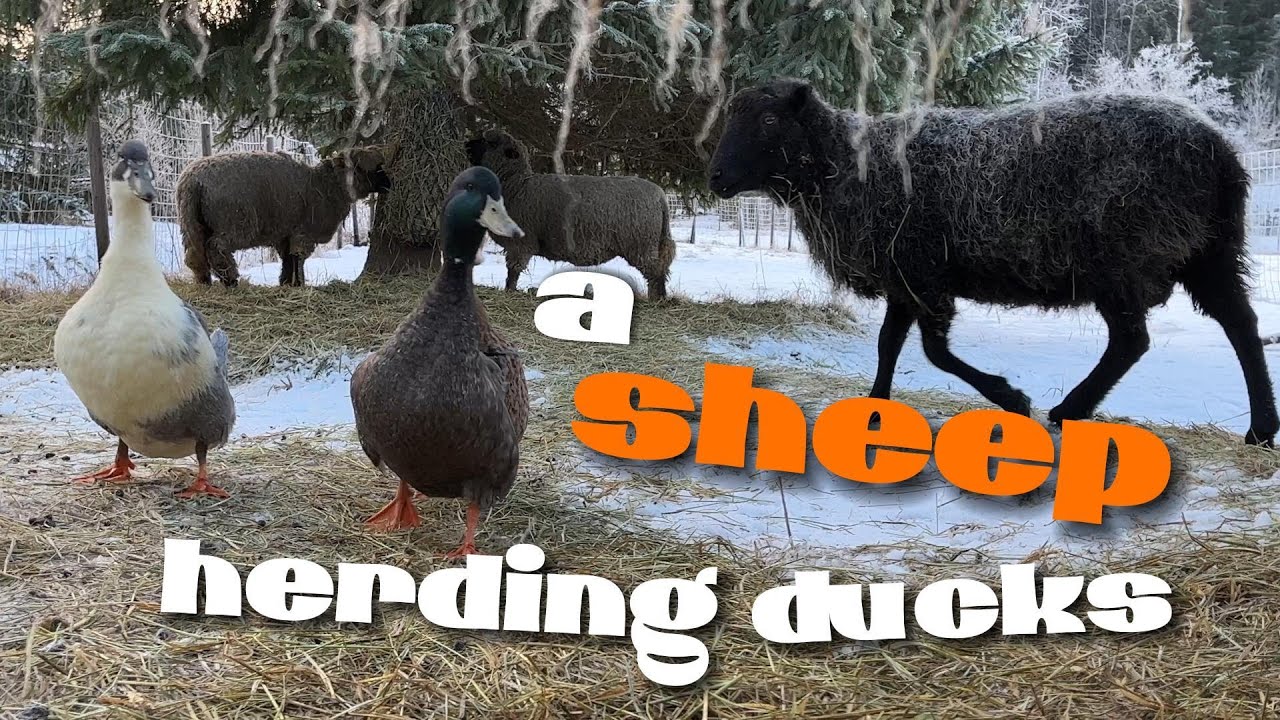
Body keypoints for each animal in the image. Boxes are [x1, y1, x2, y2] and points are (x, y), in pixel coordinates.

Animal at [177, 145, 395, 287]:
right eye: (367, 167)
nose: (390, 184)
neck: (324, 187)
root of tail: (193, 181)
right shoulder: (303, 231)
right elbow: (298, 257)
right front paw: (299, 283)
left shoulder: (285, 233)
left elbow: (288, 258)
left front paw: (287, 282)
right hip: (235, 221)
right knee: (216, 247)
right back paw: (230, 279)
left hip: (190, 223)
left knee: (194, 254)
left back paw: (203, 281)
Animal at [465, 130, 676, 300]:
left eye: (491, 143)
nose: (466, 144)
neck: (516, 184)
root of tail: (660, 196)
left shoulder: (522, 243)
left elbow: (513, 270)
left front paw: (509, 291)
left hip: (640, 243)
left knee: (656, 270)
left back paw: (658, 299)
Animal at [708, 78, 1279, 447]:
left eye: (768, 119)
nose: (714, 178)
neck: (847, 166)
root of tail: (1222, 149)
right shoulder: (904, 276)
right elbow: (888, 345)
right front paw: (875, 408)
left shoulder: (924, 274)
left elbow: (935, 353)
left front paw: (1011, 397)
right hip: (1207, 250)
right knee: (1239, 323)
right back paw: (1260, 429)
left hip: (1123, 256)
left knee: (1132, 340)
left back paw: (1069, 410)